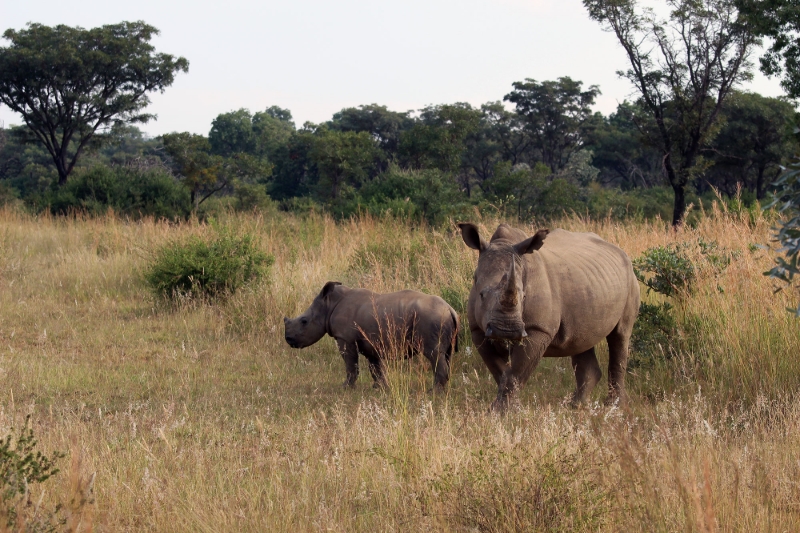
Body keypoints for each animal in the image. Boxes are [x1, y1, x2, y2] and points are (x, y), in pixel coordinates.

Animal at [282, 282, 460, 390]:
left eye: (304, 321)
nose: (288, 339)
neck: (329, 305)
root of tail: (450, 309)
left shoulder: (345, 338)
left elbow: (351, 364)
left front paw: (346, 387)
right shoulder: (371, 341)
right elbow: (376, 367)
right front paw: (380, 388)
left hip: (431, 318)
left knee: (434, 353)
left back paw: (433, 392)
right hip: (439, 318)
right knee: (445, 354)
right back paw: (442, 390)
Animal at [460, 222, 640, 410]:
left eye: (524, 297)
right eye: (481, 295)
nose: (506, 331)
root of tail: (621, 252)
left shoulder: (538, 329)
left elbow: (516, 371)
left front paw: (502, 411)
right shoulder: (477, 330)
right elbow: (501, 371)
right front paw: (509, 408)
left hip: (630, 279)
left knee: (620, 335)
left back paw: (614, 406)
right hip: (589, 284)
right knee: (582, 340)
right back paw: (576, 405)